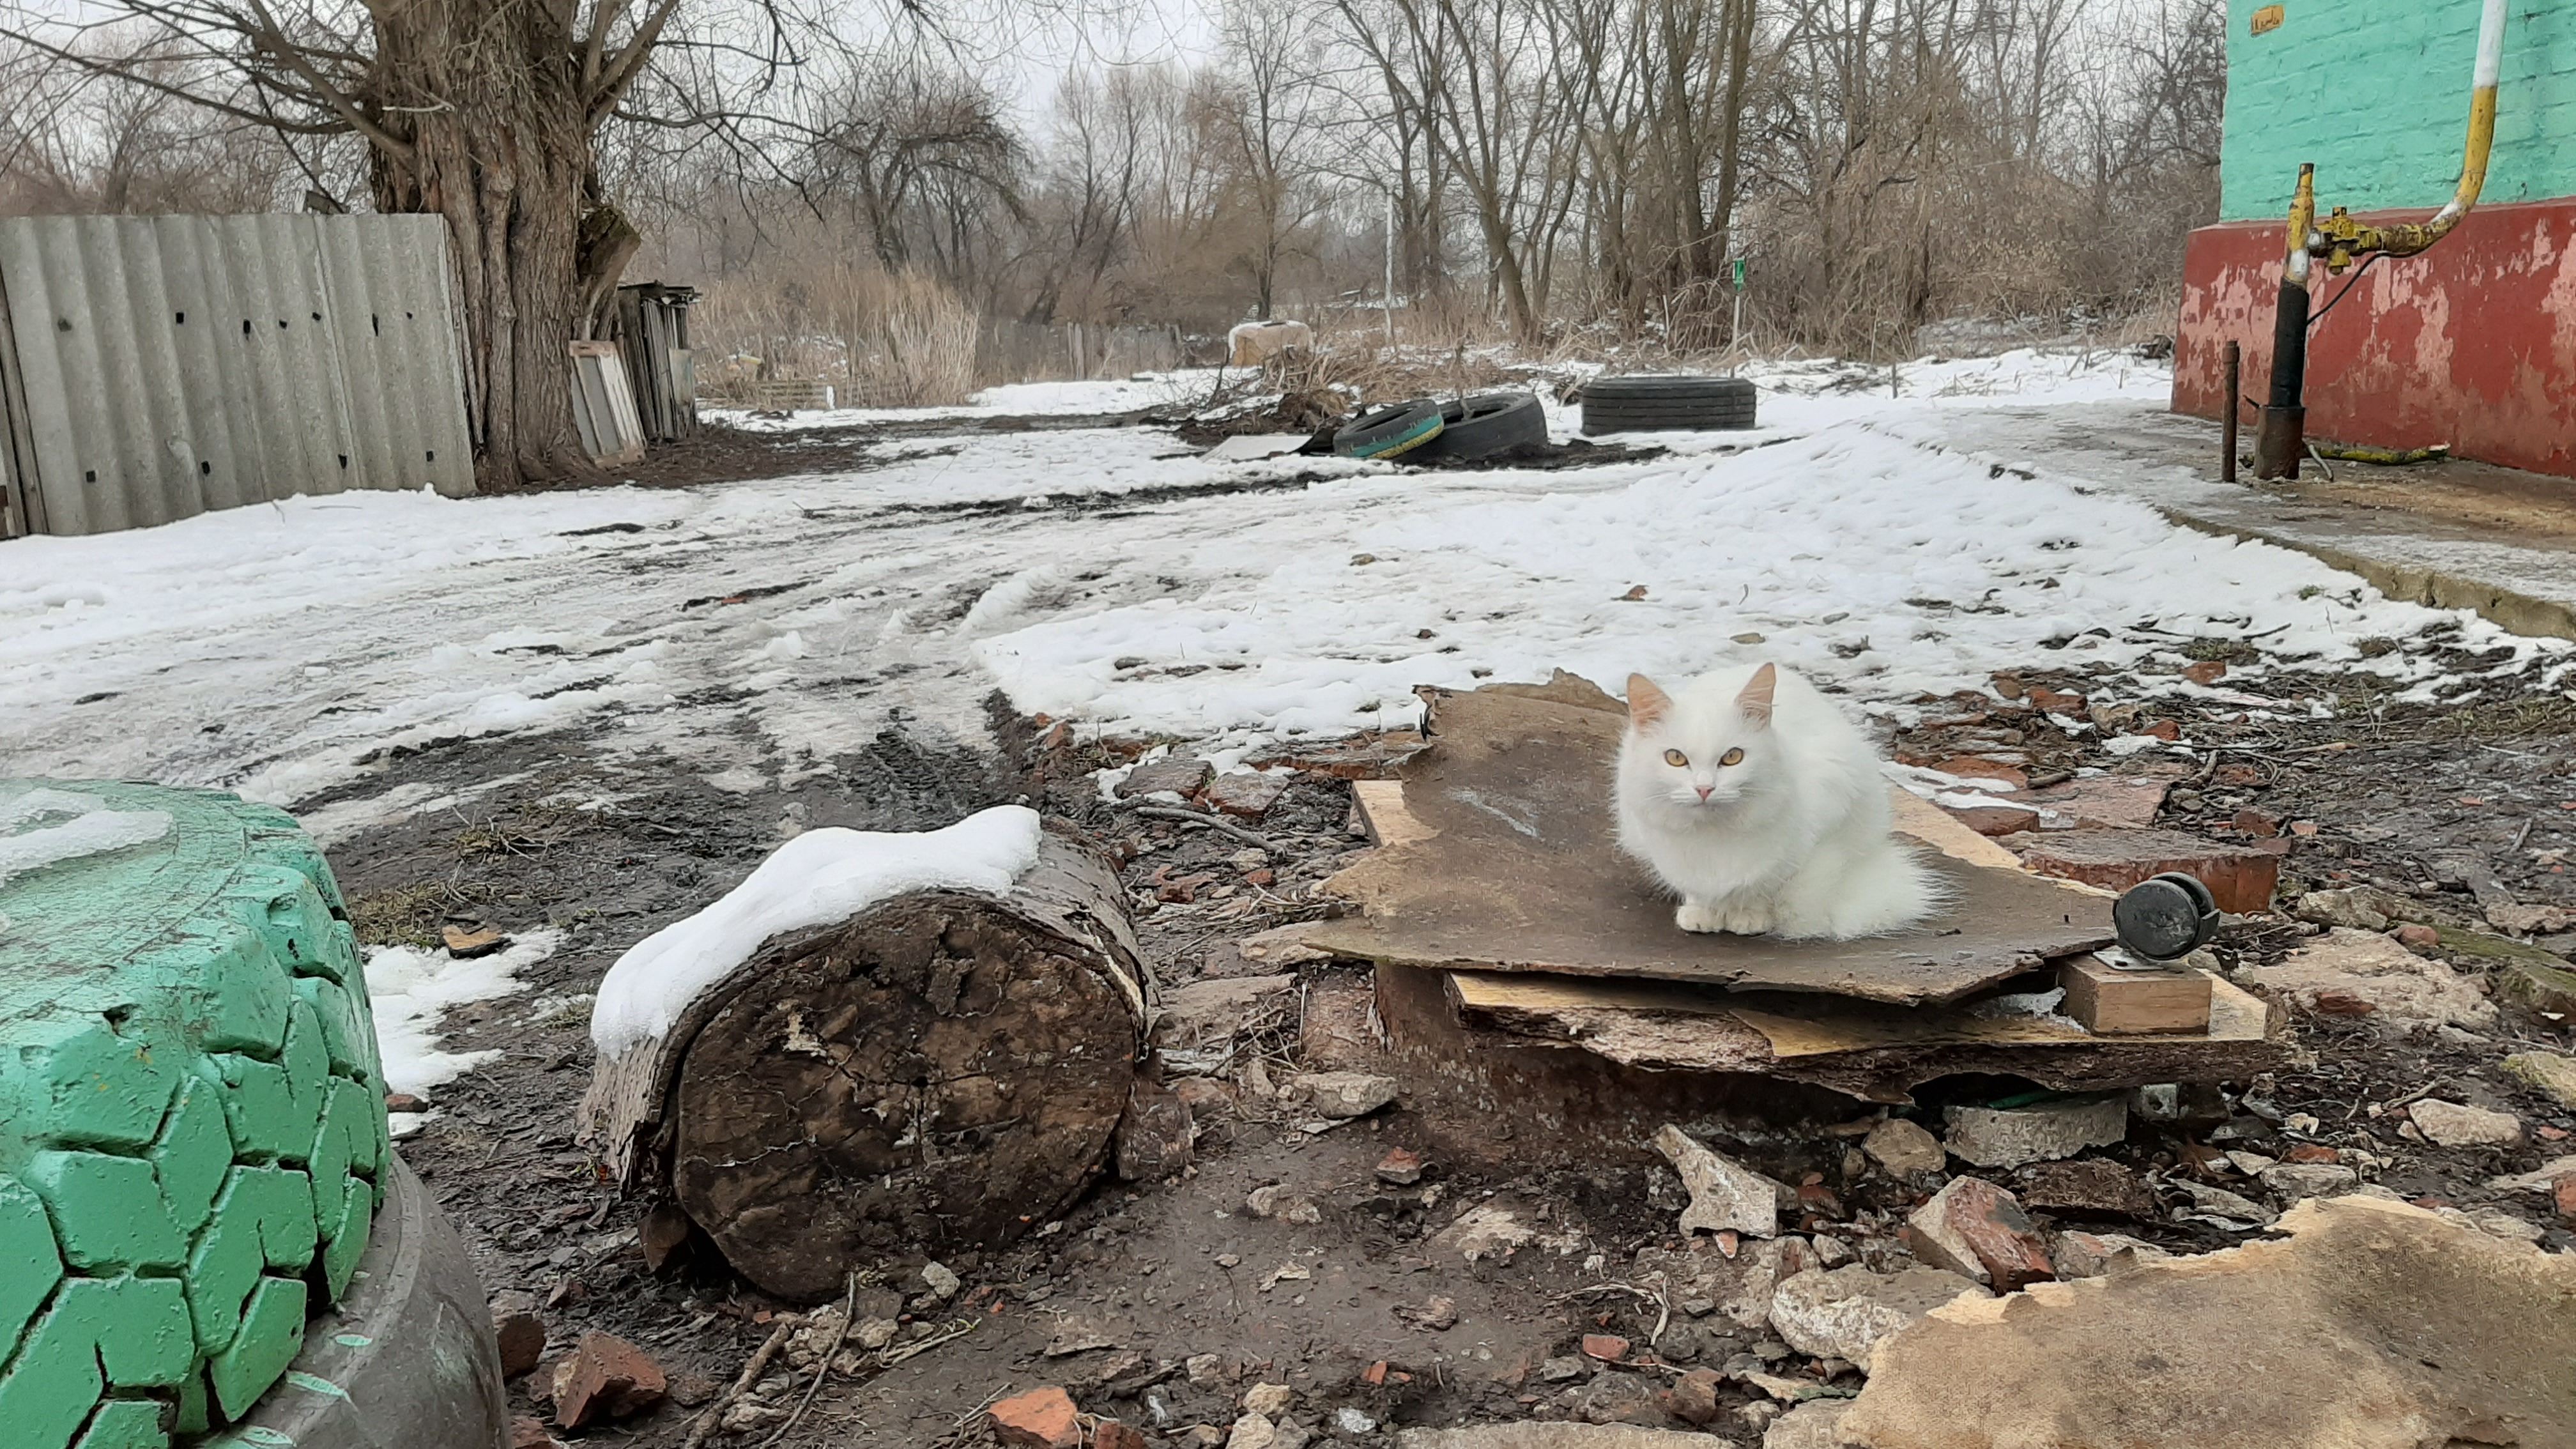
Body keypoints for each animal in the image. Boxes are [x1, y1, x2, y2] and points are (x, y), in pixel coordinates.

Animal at [1618, 665, 1937, 938]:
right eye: (1675, 758)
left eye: (1733, 757)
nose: (1705, 789)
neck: (1713, 833)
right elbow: (1697, 891)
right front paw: (1702, 913)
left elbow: (1763, 889)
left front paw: (1748, 917)